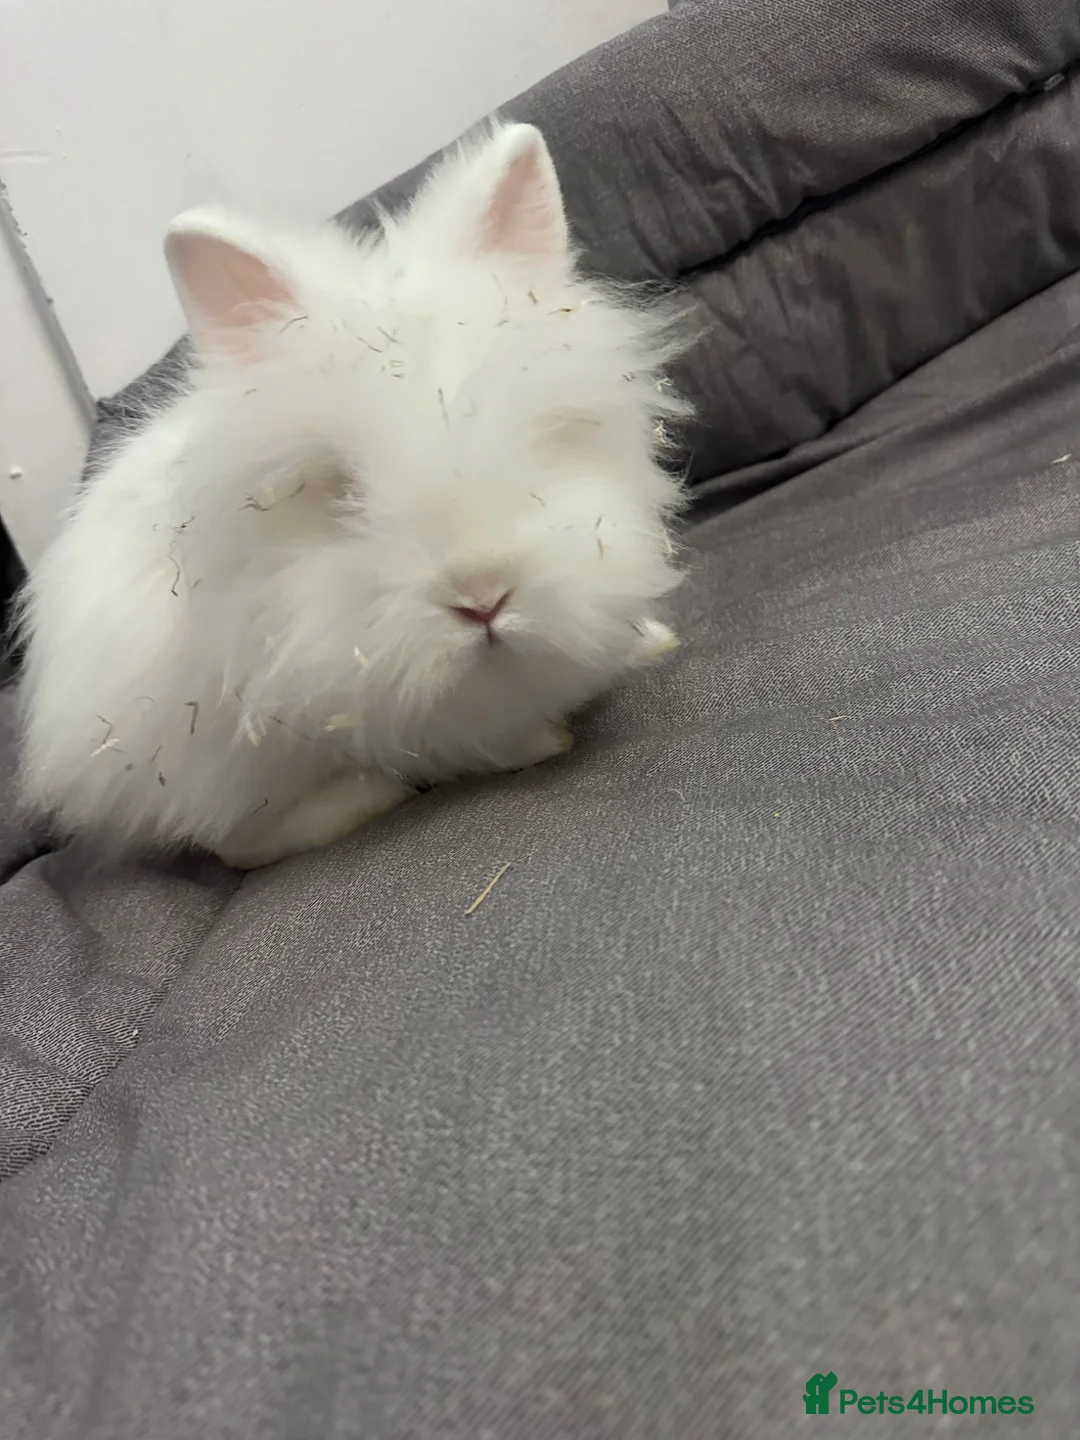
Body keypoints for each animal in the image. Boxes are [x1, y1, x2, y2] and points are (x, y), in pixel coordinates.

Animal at [16, 123, 690, 869]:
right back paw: (367, 797)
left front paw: (653, 641)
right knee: (237, 842)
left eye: (540, 436)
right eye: (343, 488)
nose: (482, 597)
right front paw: (544, 740)